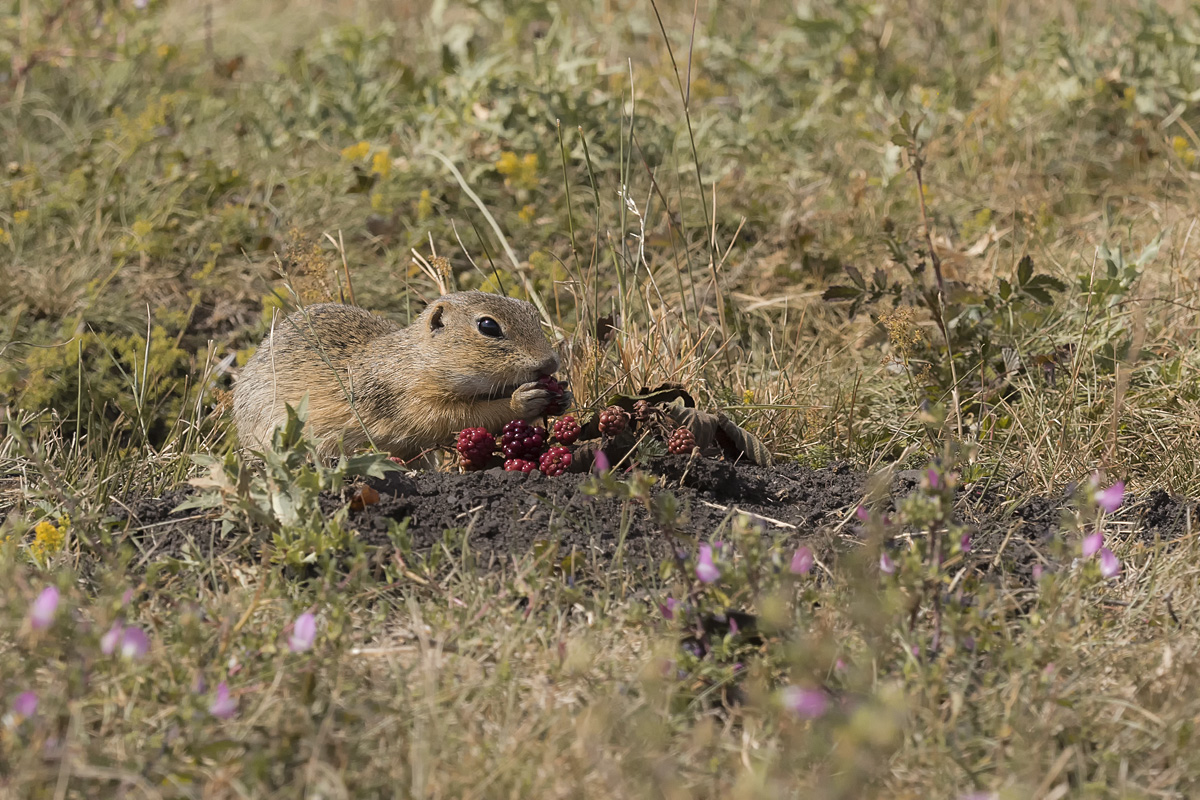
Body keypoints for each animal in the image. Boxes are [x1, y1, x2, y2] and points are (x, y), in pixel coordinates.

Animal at [237, 292, 571, 455]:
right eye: (488, 326)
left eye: (531, 311)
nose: (550, 363)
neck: (415, 360)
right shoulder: (413, 401)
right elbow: (462, 418)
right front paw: (523, 400)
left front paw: (563, 395)